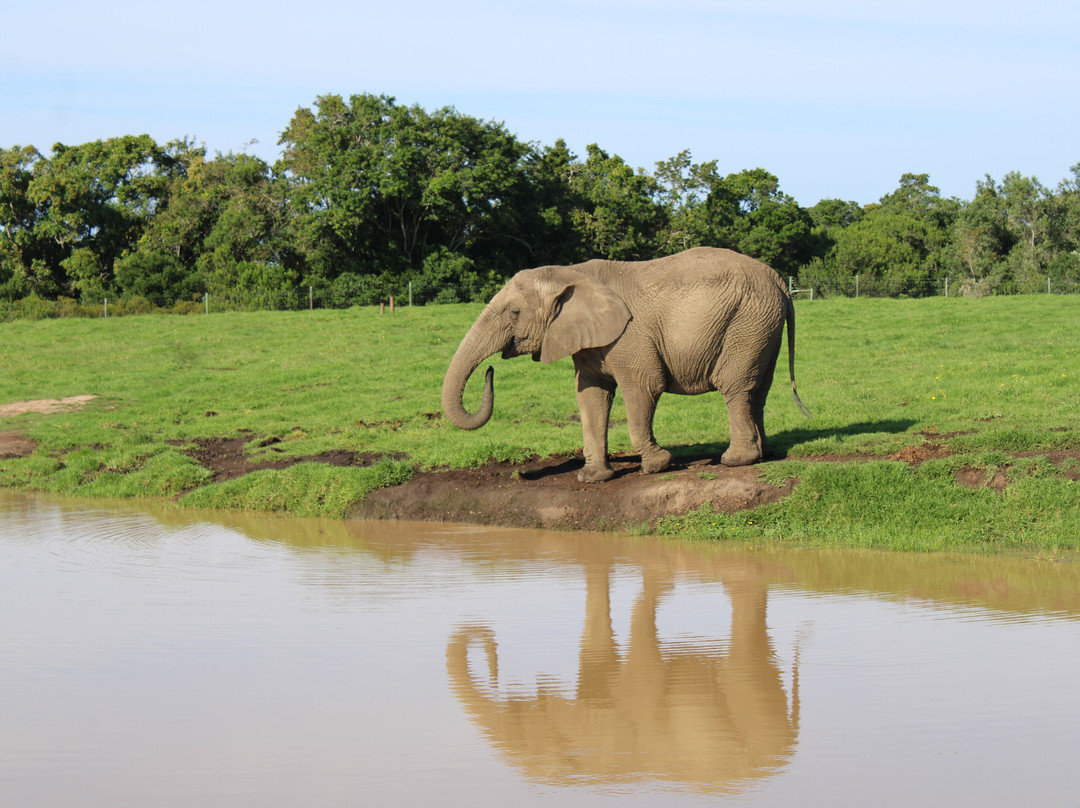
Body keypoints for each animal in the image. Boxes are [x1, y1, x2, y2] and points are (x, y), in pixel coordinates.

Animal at [441, 246, 810, 483]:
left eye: (514, 313)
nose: (490, 369)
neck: (571, 273)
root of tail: (780, 281)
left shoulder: (630, 335)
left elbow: (644, 387)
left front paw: (658, 465)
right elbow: (590, 395)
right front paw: (592, 478)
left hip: (747, 320)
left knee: (734, 386)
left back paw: (735, 461)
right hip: (761, 324)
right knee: (757, 389)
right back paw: (763, 454)